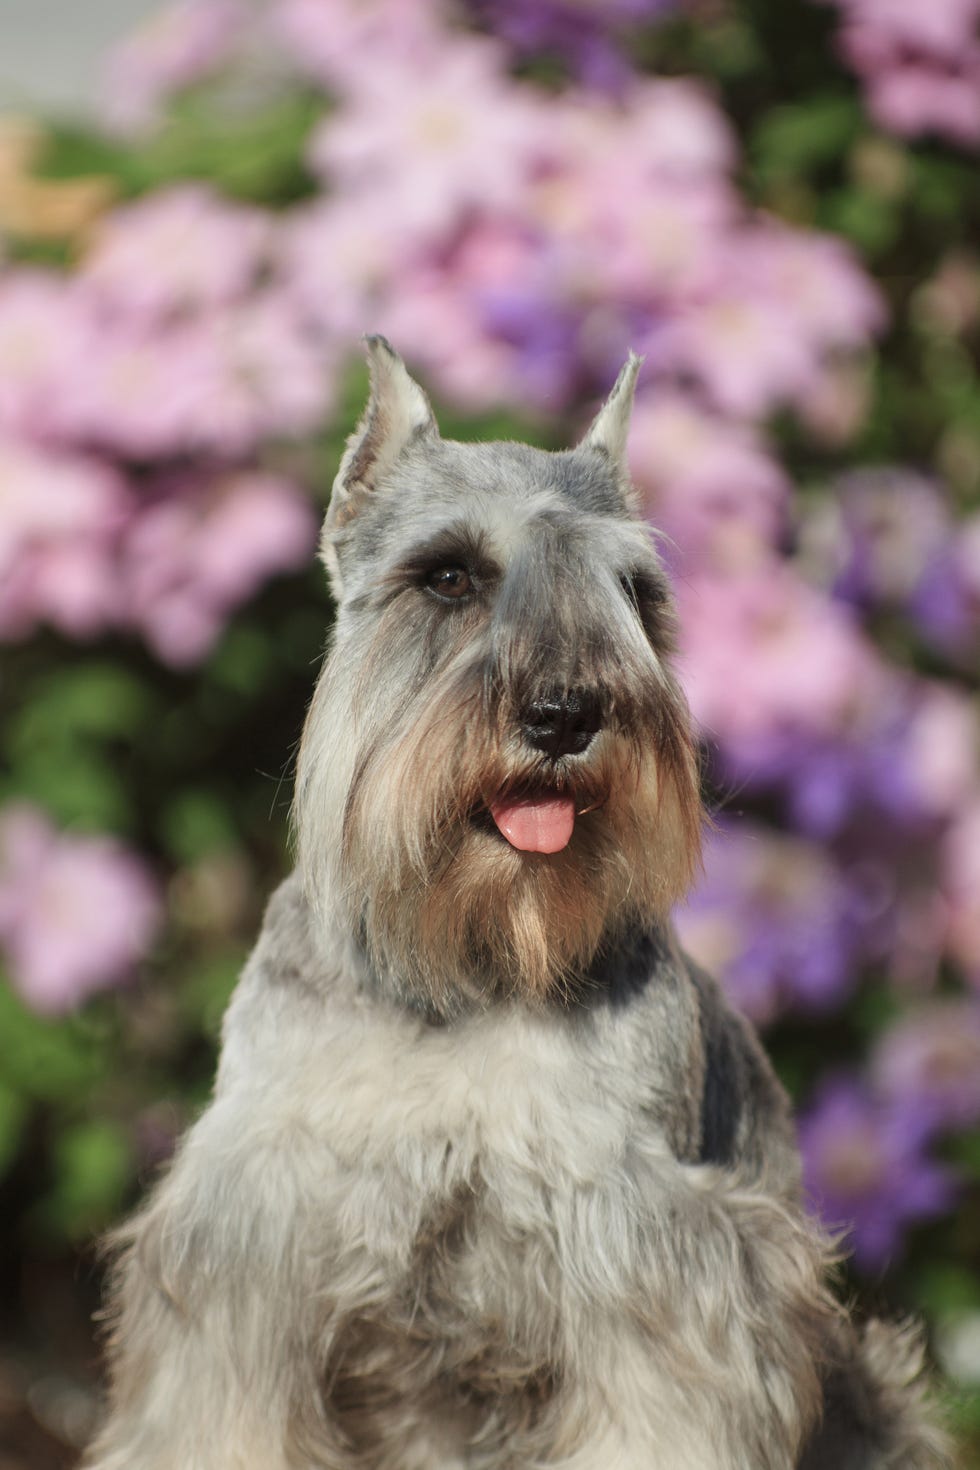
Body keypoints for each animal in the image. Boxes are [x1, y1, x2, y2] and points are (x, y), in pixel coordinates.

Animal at [86, 338, 952, 1464]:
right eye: (448, 575)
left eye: (634, 592)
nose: (565, 714)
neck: (463, 967)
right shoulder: (251, 1248)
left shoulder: (650, 1256)